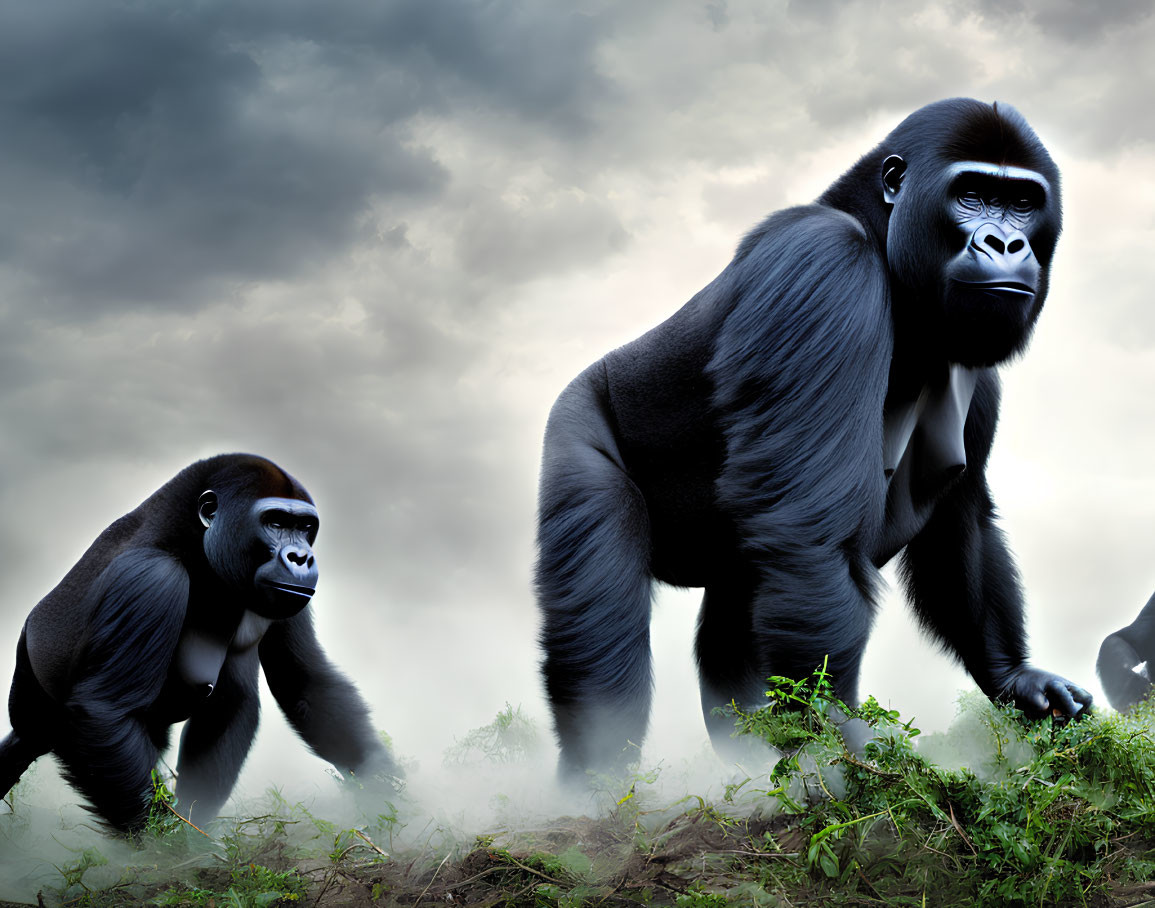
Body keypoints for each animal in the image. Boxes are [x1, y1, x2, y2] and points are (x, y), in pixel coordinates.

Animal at [0, 448, 399, 831]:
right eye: (275, 522)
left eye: (304, 527)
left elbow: (305, 684)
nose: (302, 557)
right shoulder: (151, 578)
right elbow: (104, 712)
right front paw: (166, 848)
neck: (193, 541)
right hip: (33, 703)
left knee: (233, 693)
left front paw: (387, 795)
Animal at [531, 101, 1090, 776]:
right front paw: (841, 743)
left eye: (1022, 202)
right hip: (576, 423)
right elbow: (810, 532)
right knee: (603, 651)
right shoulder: (825, 263)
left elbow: (962, 519)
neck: (878, 231)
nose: (1005, 243)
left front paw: (1012, 675)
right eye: (973, 194)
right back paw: (597, 783)